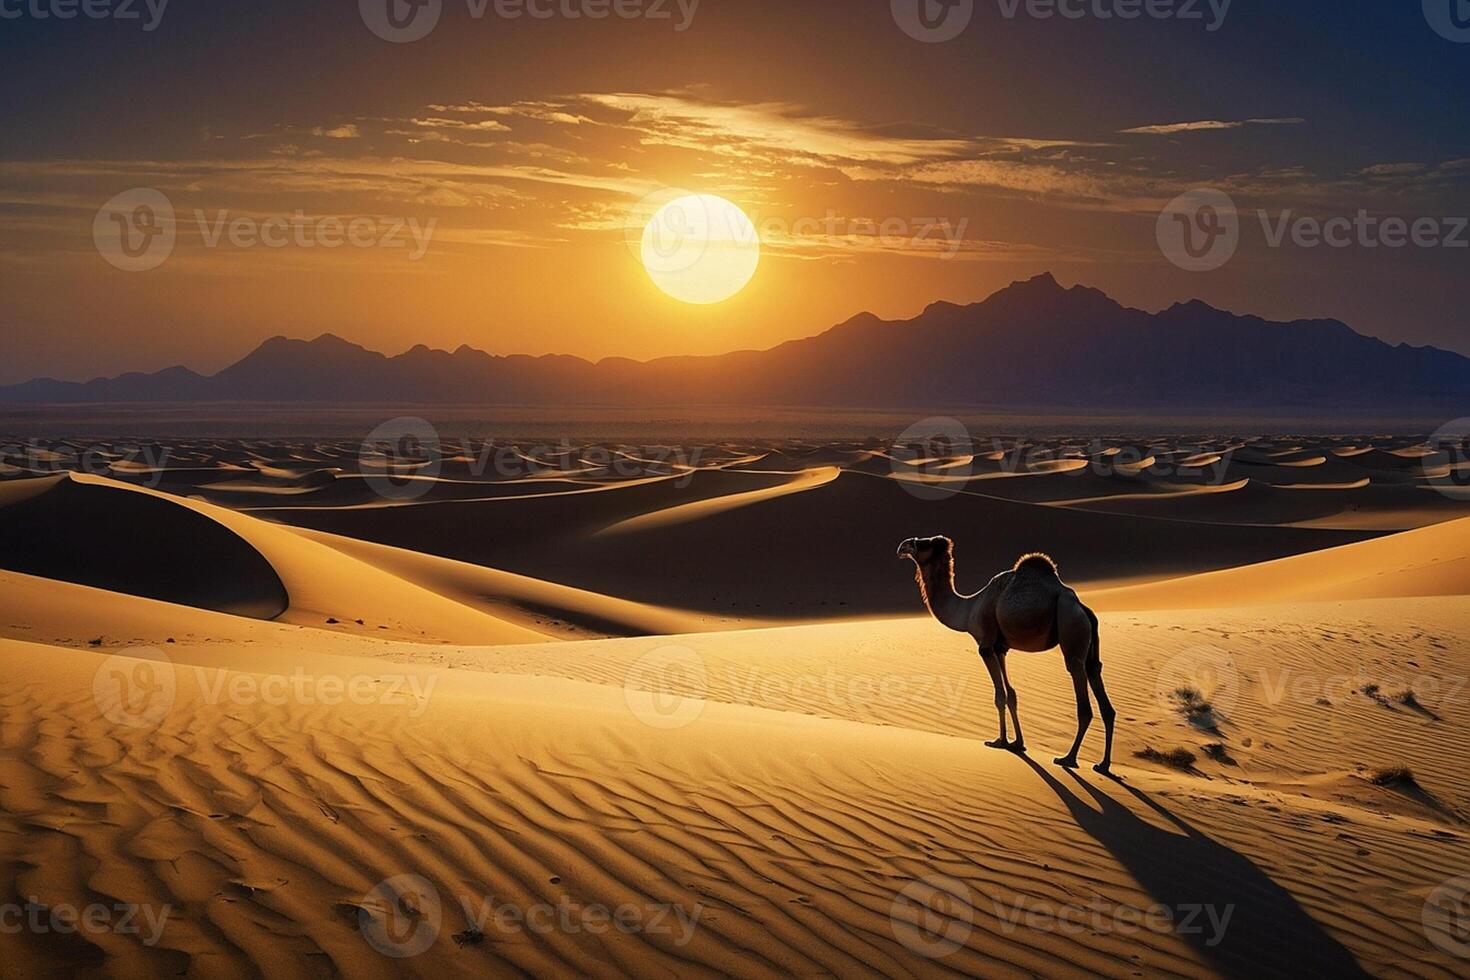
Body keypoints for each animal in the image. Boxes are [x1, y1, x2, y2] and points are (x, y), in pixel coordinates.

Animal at [893, 537, 1111, 775]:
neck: (968, 609)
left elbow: (999, 696)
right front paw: (1018, 743)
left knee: (1081, 694)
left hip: (1070, 624)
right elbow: (1011, 694)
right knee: (1101, 690)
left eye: (923, 543)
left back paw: (1068, 758)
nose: (902, 546)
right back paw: (1103, 765)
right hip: (1088, 645)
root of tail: (1083, 608)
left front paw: (1000, 741)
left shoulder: (986, 645)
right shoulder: (1001, 648)